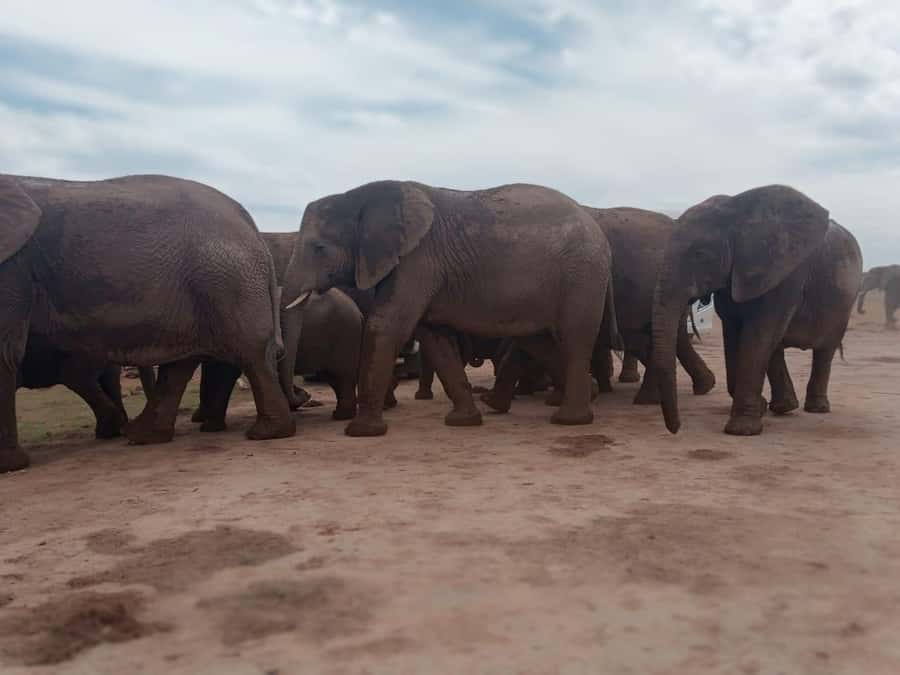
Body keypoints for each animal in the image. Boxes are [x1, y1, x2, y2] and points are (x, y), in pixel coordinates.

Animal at [0, 173, 295, 472]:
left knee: (250, 352)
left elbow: (4, 352)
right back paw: (143, 436)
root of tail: (249, 222)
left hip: (226, 280)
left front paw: (8, 467)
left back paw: (266, 433)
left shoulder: (13, 265)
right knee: (183, 361)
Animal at [281, 181, 616, 436]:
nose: (304, 397)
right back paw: (587, 396)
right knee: (538, 341)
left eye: (319, 248)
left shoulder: (417, 260)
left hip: (582, 273)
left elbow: (386, 325)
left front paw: (361, 432)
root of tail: (596, 227)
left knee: (574, 337)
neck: (360, 196)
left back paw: (570, 420)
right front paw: (463, 422)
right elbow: (434, 338)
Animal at [651, 185, 863, 436]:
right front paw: (759, 408)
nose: (677, 429)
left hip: (843, 303)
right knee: (776, 346)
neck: (738, 212)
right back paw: (783, 407)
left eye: (701, 254)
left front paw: (741, 431)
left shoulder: (785, 275)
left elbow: (758, 333)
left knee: (824, 350)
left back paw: (816, 409)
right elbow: (735, 331)